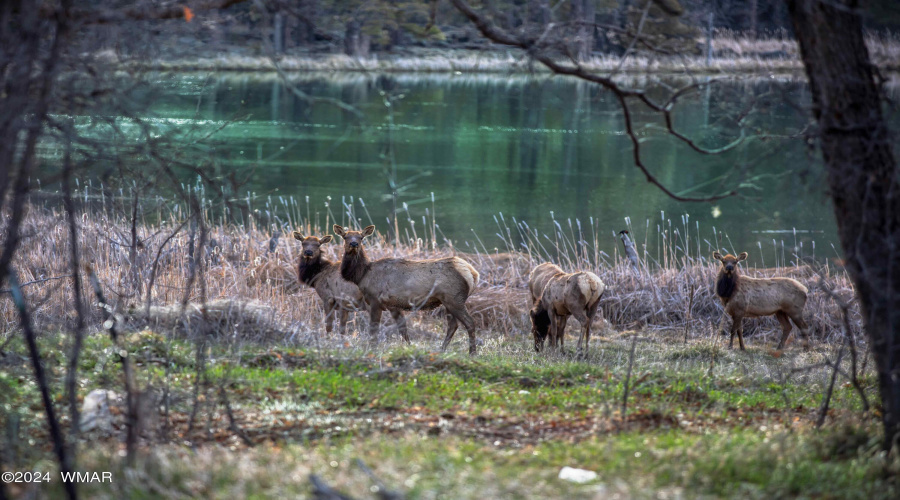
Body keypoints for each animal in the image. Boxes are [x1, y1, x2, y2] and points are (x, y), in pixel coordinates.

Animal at [332, 225, 486, 354]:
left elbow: (373, 330)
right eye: (345, 236)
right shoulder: (392, 305)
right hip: (448, 301)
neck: (362, 275)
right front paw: (409, 347)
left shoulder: (375, 300)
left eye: (361, 237)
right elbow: (403, 329)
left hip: (454, 299)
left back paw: (472, 352)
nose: (354, 244)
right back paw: (442, 350)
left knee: (469, 322)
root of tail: (473, 274)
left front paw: (372, 349)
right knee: (453, 325)